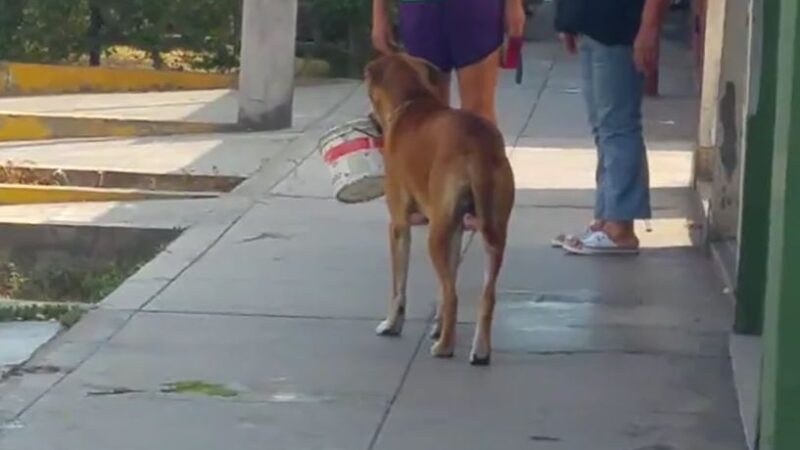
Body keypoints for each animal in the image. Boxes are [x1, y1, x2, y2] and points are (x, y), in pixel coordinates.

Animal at [366, 52, 516, 366]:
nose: (371, 121)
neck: (411, 101)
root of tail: (478, 143)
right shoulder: (455, 229)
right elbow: (445, 286)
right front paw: (438, 323)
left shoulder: (399, 225)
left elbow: (399, 286)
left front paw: (392, 324)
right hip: (493, 232)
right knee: (484, 295)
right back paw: (479, 350)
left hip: (435, 236)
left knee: (454, 294)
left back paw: (445, 347)